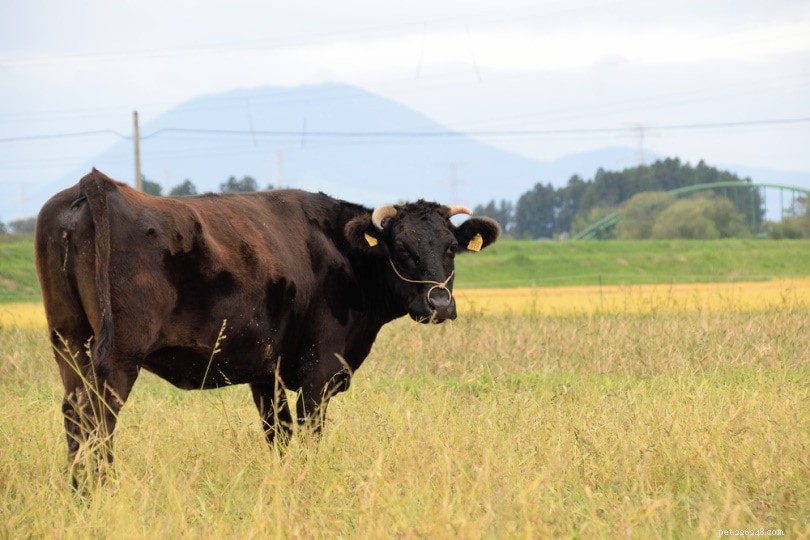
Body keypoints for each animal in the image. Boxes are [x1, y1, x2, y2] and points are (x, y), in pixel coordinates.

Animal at [35, 169, 500, 488]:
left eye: (451, 248)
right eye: (401, 248)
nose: (440, 303)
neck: (340, 250)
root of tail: (97, 185)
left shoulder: (265, 372)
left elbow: (279, 434)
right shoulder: (319, 370)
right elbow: (309, 434)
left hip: (69, 342)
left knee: (74, 414)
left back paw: (79, 493)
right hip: (118, 358)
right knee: (98, 419)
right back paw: (103, 491)